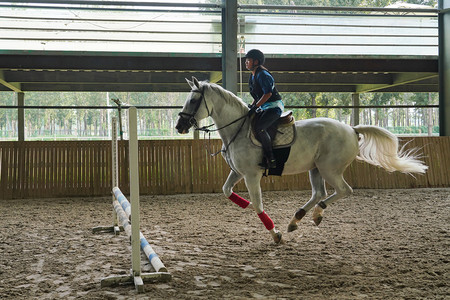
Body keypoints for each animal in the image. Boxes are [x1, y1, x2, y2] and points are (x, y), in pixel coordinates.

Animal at [175, 77, 426, 244]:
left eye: (194, 100)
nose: (179, 126)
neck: (239, 129)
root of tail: (352, 129)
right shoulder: (238, 172)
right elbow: (226, 190)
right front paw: (244, 204)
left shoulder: (251, 175)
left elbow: (258, 203)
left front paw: (275, 234)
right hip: (315, 169)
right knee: (319, 193)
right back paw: (296, 219)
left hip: (329, 169)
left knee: (343, 191)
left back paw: (316, 214)